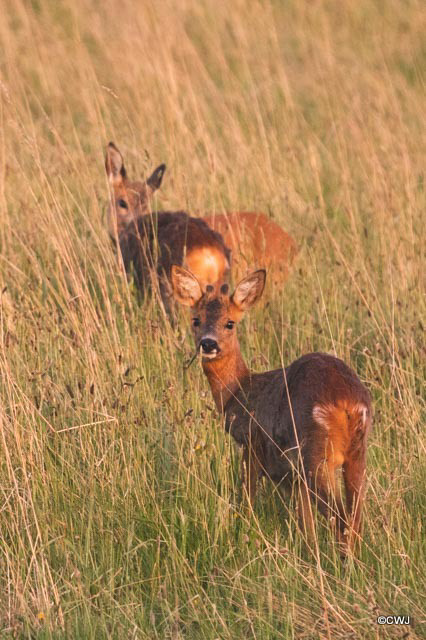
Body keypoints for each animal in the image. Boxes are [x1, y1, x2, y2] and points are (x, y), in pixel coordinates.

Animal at [171, 264, 372, 556]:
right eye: (196, 320)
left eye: (230, 323)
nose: (208, 344)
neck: (239, 391)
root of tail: (347, 402)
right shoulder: (294, 473)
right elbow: (305, 522)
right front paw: (308, 551)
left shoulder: (251, 444)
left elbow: (248, 496)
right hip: (355, 453)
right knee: (355, 515)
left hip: (316, 453)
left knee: (340, 517)